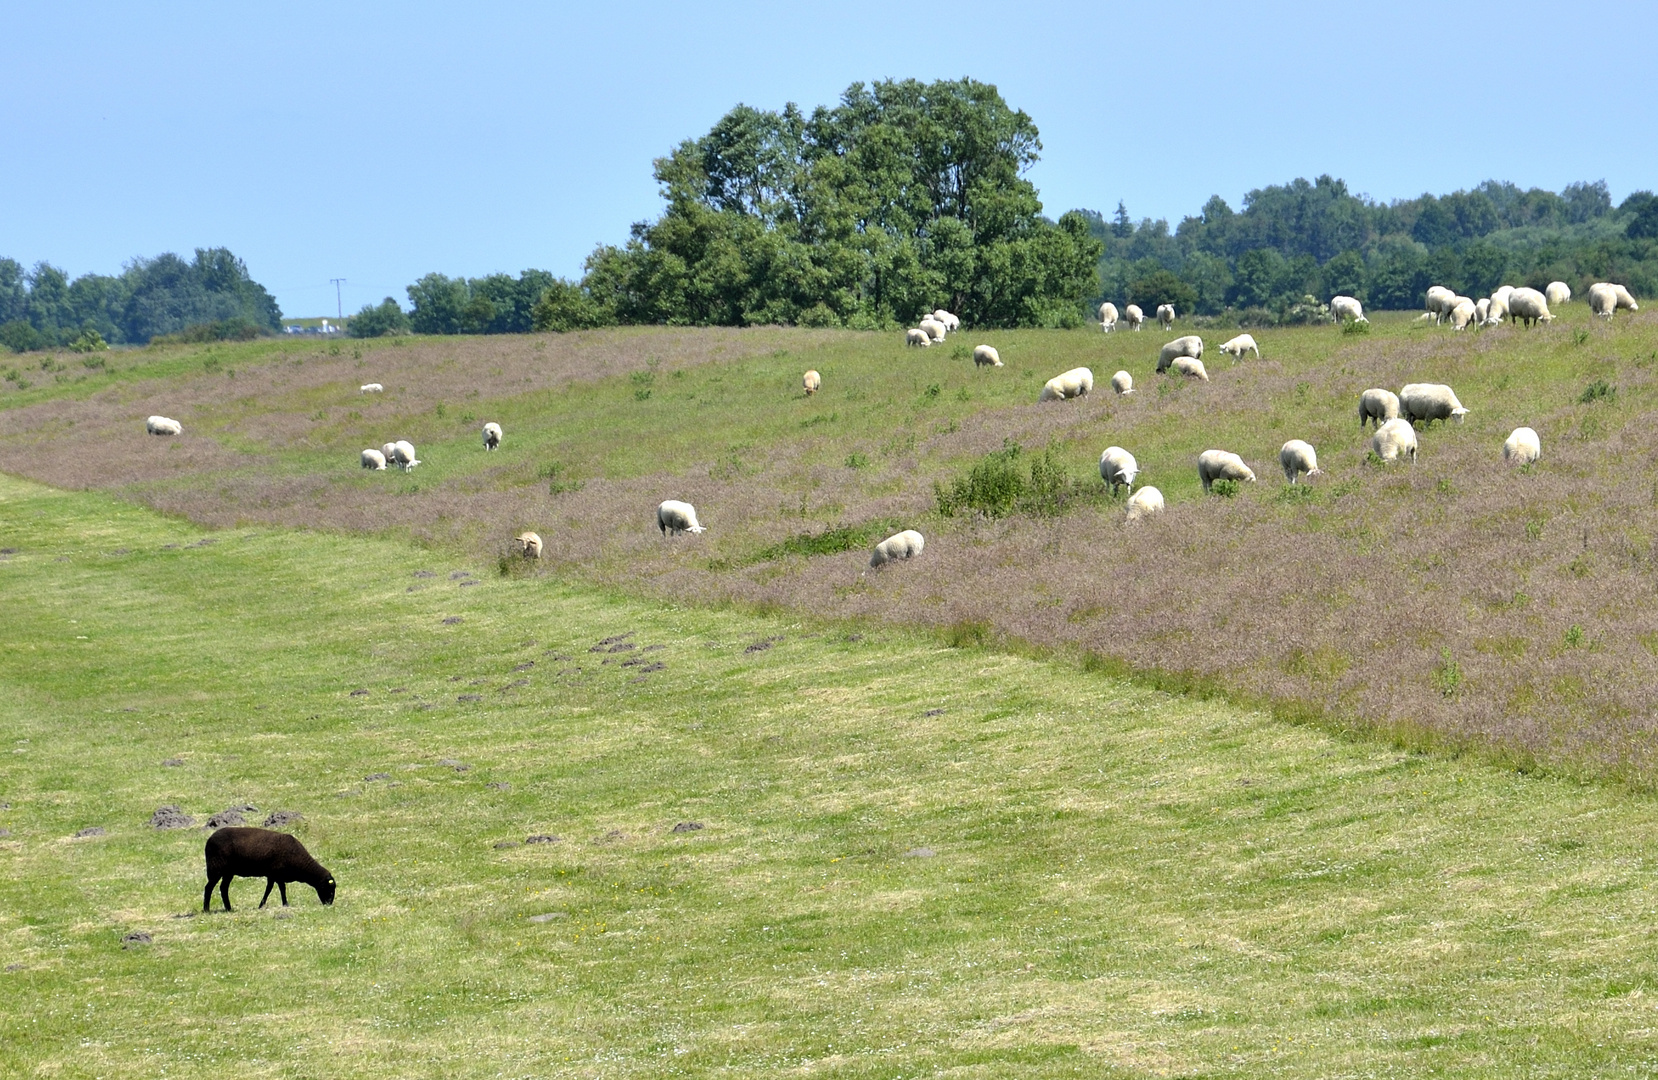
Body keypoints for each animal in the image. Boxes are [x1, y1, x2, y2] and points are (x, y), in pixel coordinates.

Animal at [202, 829, 334, 915]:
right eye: (330, 889)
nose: (329, 904)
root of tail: (209, 840)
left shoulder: (272, 875)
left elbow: (269, 889)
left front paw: (262, 905)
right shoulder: (277, 873)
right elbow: (280, 889)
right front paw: (284, 904)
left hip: (228, 872)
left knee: (223, 888)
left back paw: (229, 908)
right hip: (216, 867)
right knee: (208, 887)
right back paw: (206, 909)